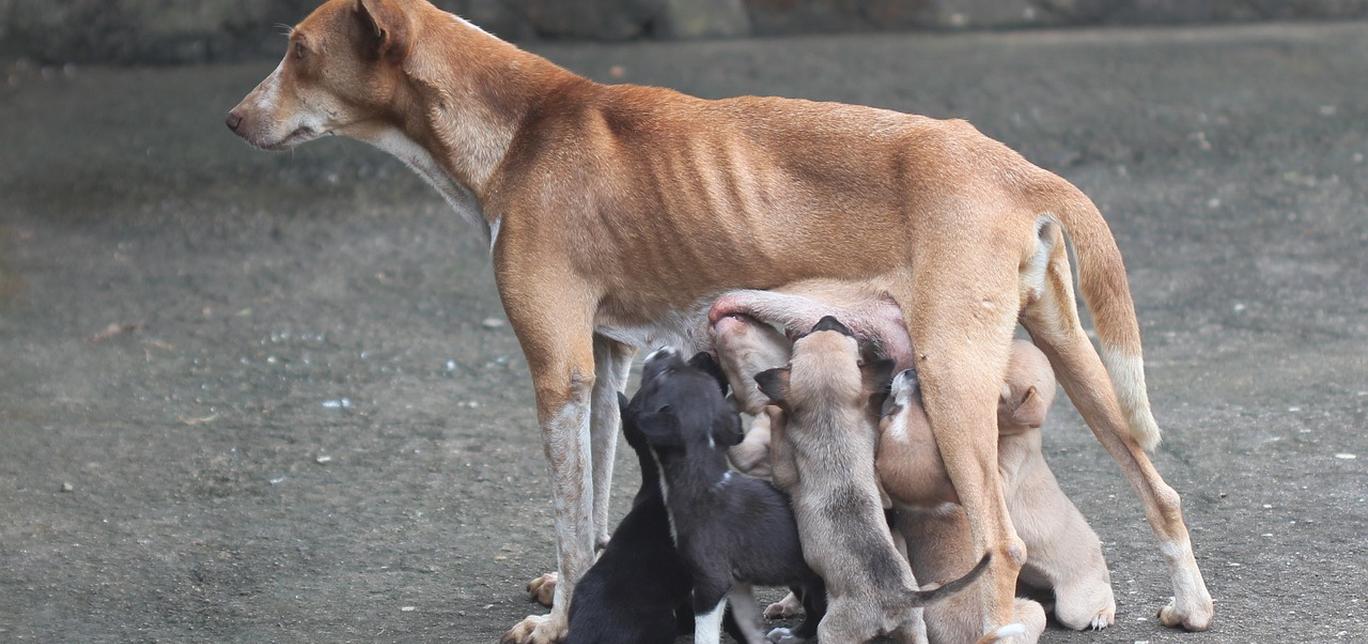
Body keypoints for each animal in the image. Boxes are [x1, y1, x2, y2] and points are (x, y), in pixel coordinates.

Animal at [227, 1, 1220, 639]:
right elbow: (588, 503)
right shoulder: (604, 367)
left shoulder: (557, 371)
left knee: (1005, 541)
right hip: (1074, 359)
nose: (233, 119)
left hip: (954, 376)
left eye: (298, 51)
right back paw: (1192, 605)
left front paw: (557, 620)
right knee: (1160, 489)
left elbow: (567, 515)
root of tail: (1016, 167)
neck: (522, 128)